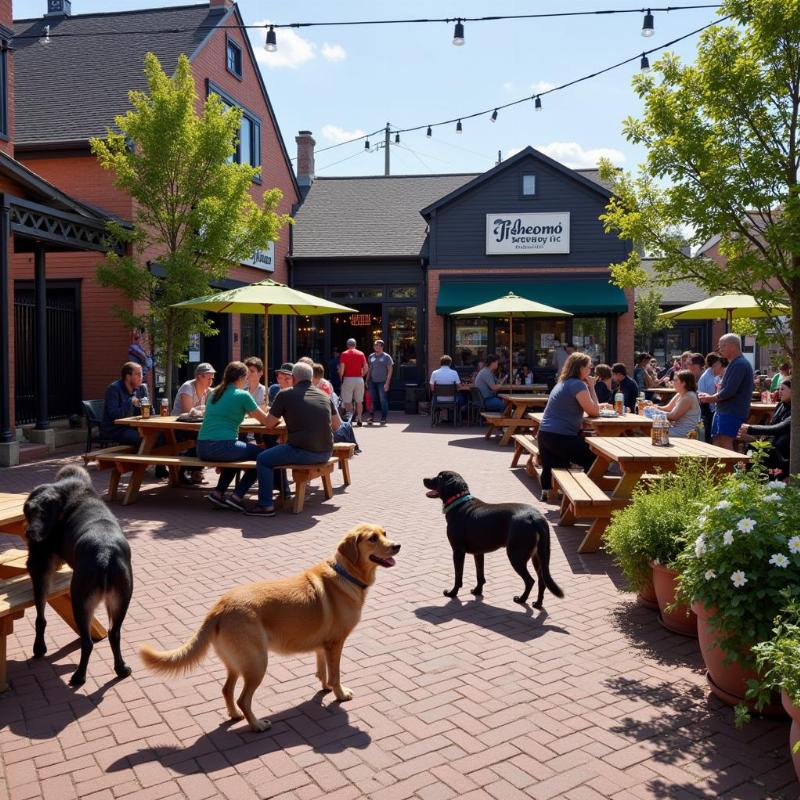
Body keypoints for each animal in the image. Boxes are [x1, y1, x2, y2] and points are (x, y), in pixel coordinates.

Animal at [24, 466, 133, 684]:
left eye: (43, 513)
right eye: (29, 512)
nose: (30, 533)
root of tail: (105, 554)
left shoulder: (39, 568)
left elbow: (40, 617)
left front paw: (39, 648)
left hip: (80, 600)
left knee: (87, 642)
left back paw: (79, 676)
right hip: (121, 599)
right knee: (114, 633)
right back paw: (121, 669)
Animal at [424, 468, 564, 608]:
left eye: (440, 477)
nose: (424, 479)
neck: (458, 502)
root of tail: (534, 517)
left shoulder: (458, 551)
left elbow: (458, 577)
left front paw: (452, 593)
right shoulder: (478, 552)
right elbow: (480, 574)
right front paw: (477, 591)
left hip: (516, 555)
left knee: (530, 581)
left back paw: (522, 599)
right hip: (538, 556)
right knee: (542, 581)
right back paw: (538, 603)